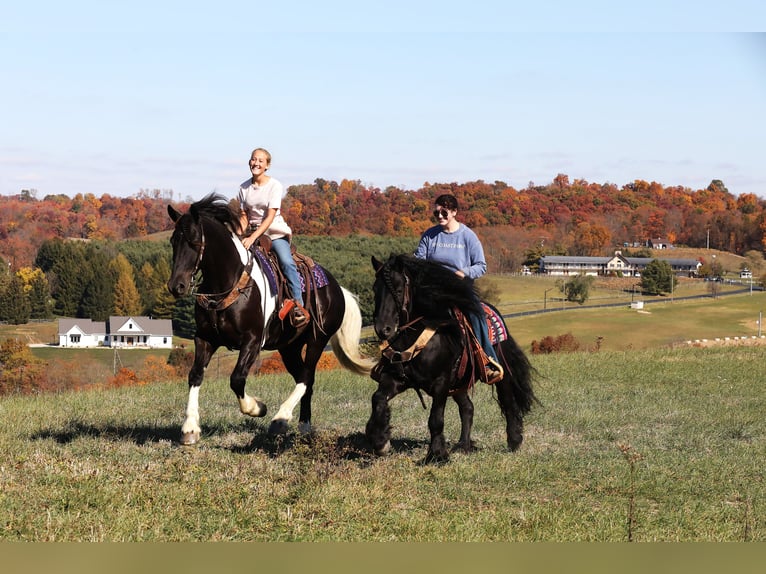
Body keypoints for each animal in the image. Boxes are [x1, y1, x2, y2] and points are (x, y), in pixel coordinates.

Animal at [166, 196, 376, 448]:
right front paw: (190, 428)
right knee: (306, 381)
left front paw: (257, 408)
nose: (176, 286)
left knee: (306, 377)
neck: (229, 281)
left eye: (194, 240)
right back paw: (303, 426)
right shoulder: (205, 338)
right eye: (173, 241)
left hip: (317, 340)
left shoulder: (253, 341)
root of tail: (337, 289)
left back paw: (280, 419)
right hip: (290, 348)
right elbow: (195, 375)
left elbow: (237, 379)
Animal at [368, 254, 536, 466]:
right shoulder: (396, 379)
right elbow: (378, 398)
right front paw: (380, 441)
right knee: (468, 408)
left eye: (398, 289)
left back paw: (514, 440)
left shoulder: (441, 382)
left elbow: (435, 419)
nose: (384, 329)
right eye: (375, 289)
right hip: (460, 383)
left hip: (499, 375)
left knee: (508, 402)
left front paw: (436, 455)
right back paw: (463, 445)